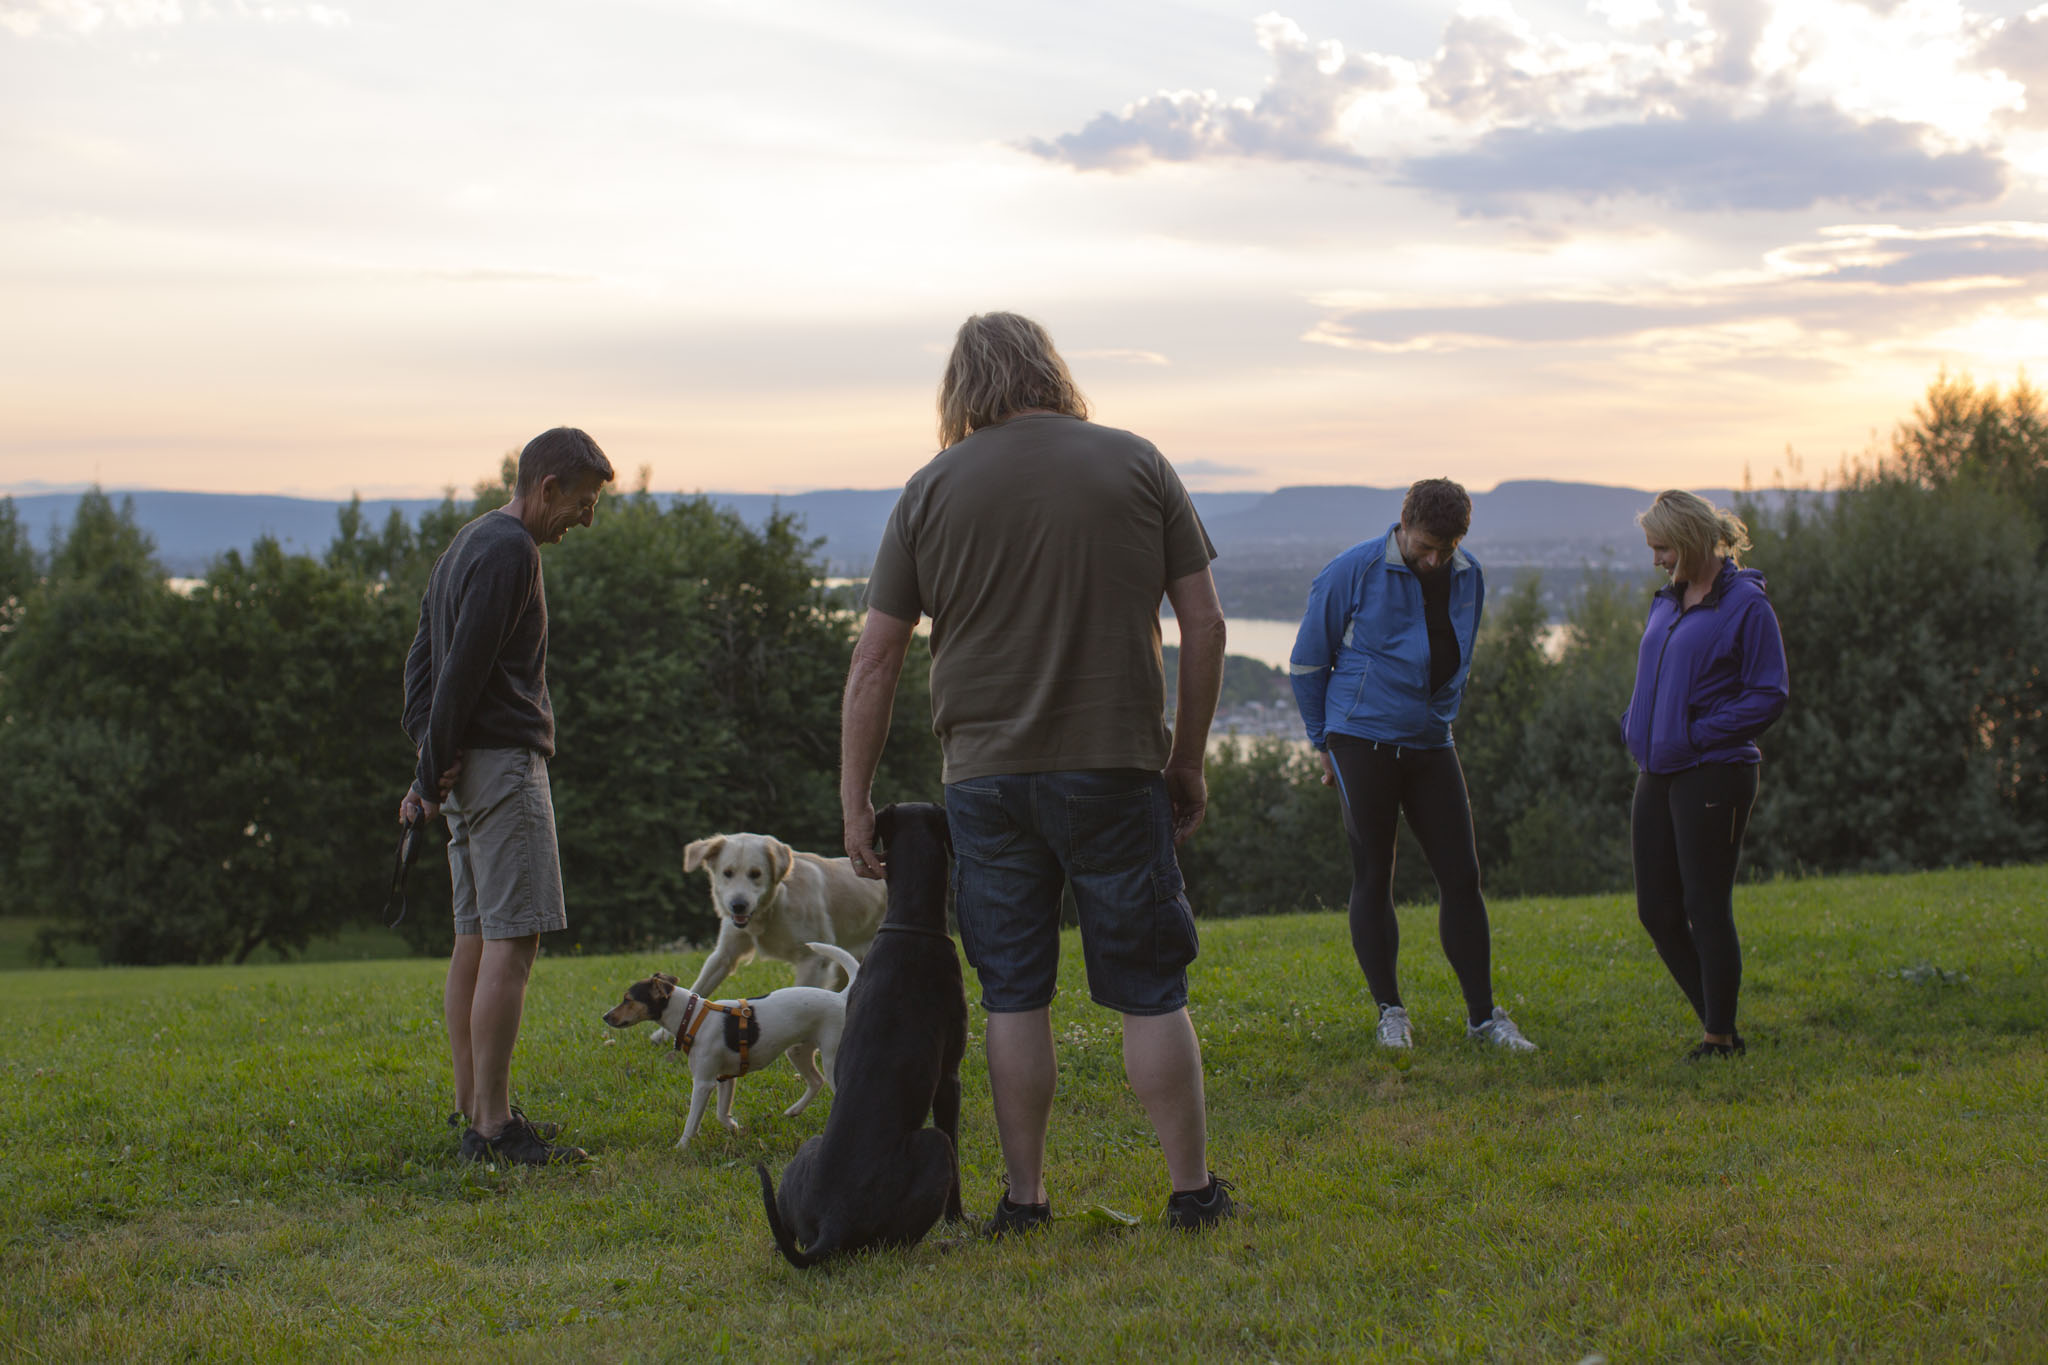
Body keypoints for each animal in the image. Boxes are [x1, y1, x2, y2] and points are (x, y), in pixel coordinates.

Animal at [603, 941, 861, 1150]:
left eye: (627, 999)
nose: (605, 1016)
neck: (691, 1015)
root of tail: (840, 996)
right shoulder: (725, 1077)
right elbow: (721, 1113)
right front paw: (733, 1127)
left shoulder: (704, 1082)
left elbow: (692, 1121)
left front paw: (681, 1147)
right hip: (797, 1051)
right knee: (816, 1081)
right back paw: (794, 1110)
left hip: (831, 1057)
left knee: (834, 1087)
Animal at [757, 802, 967, 1268]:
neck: (909, 924)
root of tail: (832, 1222)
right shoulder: (949, 1075)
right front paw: (959, 1218)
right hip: (932, 1148)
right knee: (898, 1239)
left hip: (807, 1150)